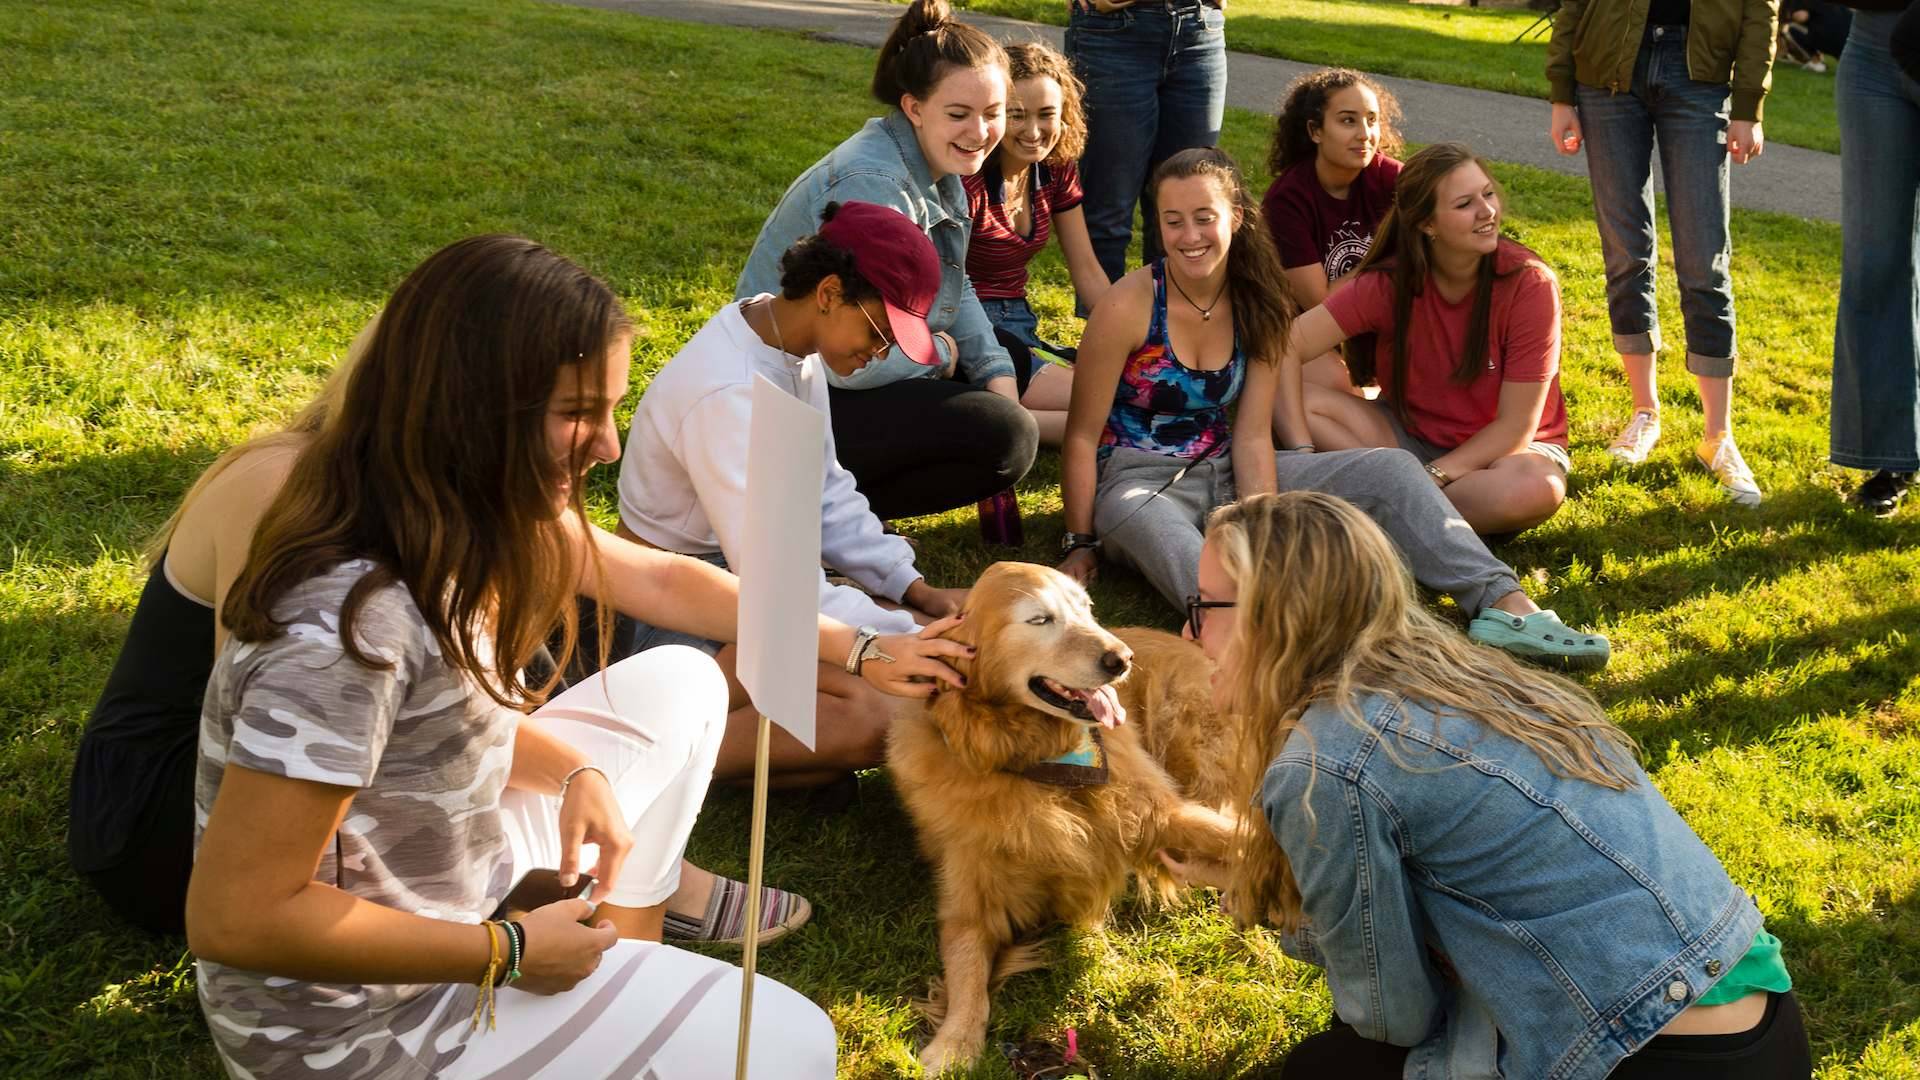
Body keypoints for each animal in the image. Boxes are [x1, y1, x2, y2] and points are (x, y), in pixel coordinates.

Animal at [887, 557, 1236, 1060]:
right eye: (1039, 620)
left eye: (1086, 609)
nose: (1122, 659)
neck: (1038, 758)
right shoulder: (968, 898)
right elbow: (967, 973)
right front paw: (953, 1044)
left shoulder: (1161, 815)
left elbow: (1236, 837)